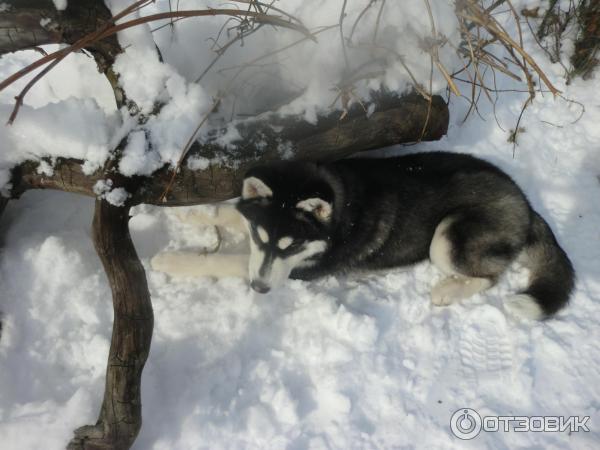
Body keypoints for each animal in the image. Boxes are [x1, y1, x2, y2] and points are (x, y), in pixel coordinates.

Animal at [237, 152, 576, 320]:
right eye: (258, 234)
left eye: (294, 245)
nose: (259, 288)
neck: (340, 198)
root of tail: (526, 204)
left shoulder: (309, 267)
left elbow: (236, 261)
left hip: (445, 238)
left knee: (488, 277)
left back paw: (447, 290)